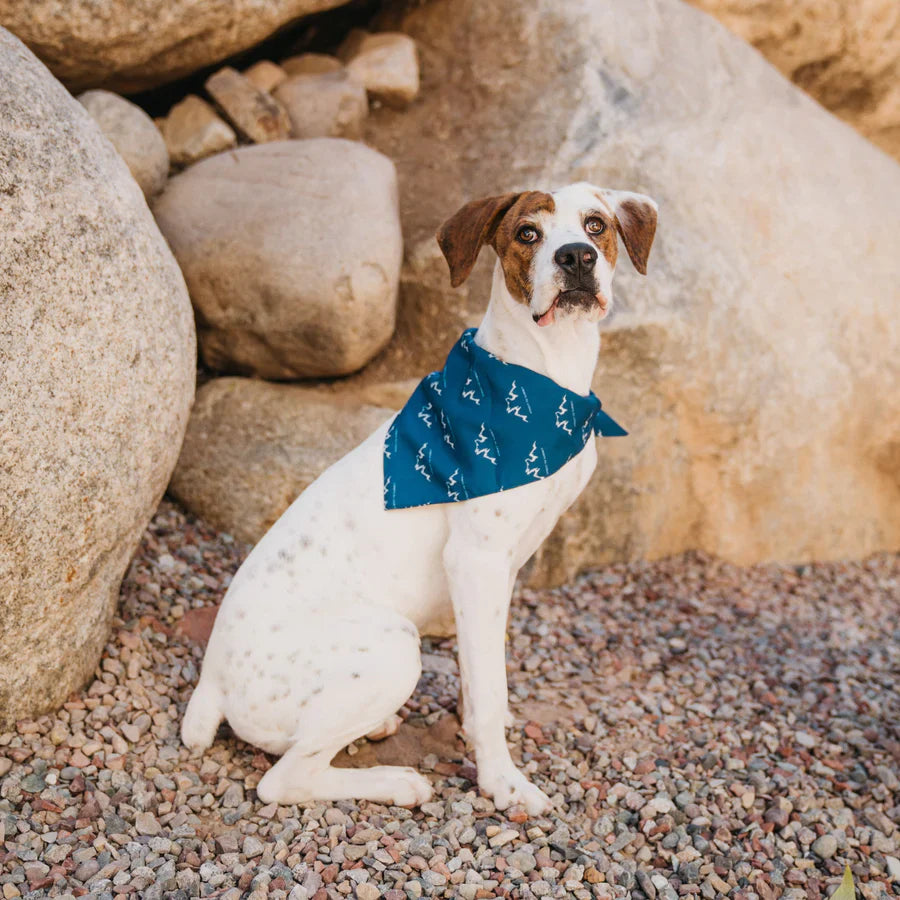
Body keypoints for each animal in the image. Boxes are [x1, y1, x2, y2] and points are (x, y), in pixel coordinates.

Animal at [183, 183, 656, 816]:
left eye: (596, 225)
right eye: (527, 233)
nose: (576, 257)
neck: (546, 376)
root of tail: (211, 681)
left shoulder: (498, 572)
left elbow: (482, 676)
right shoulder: (477, 562)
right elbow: (488, 688)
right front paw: (503, 782)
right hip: (393, 645)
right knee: (283, 780)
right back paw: (397, 782)